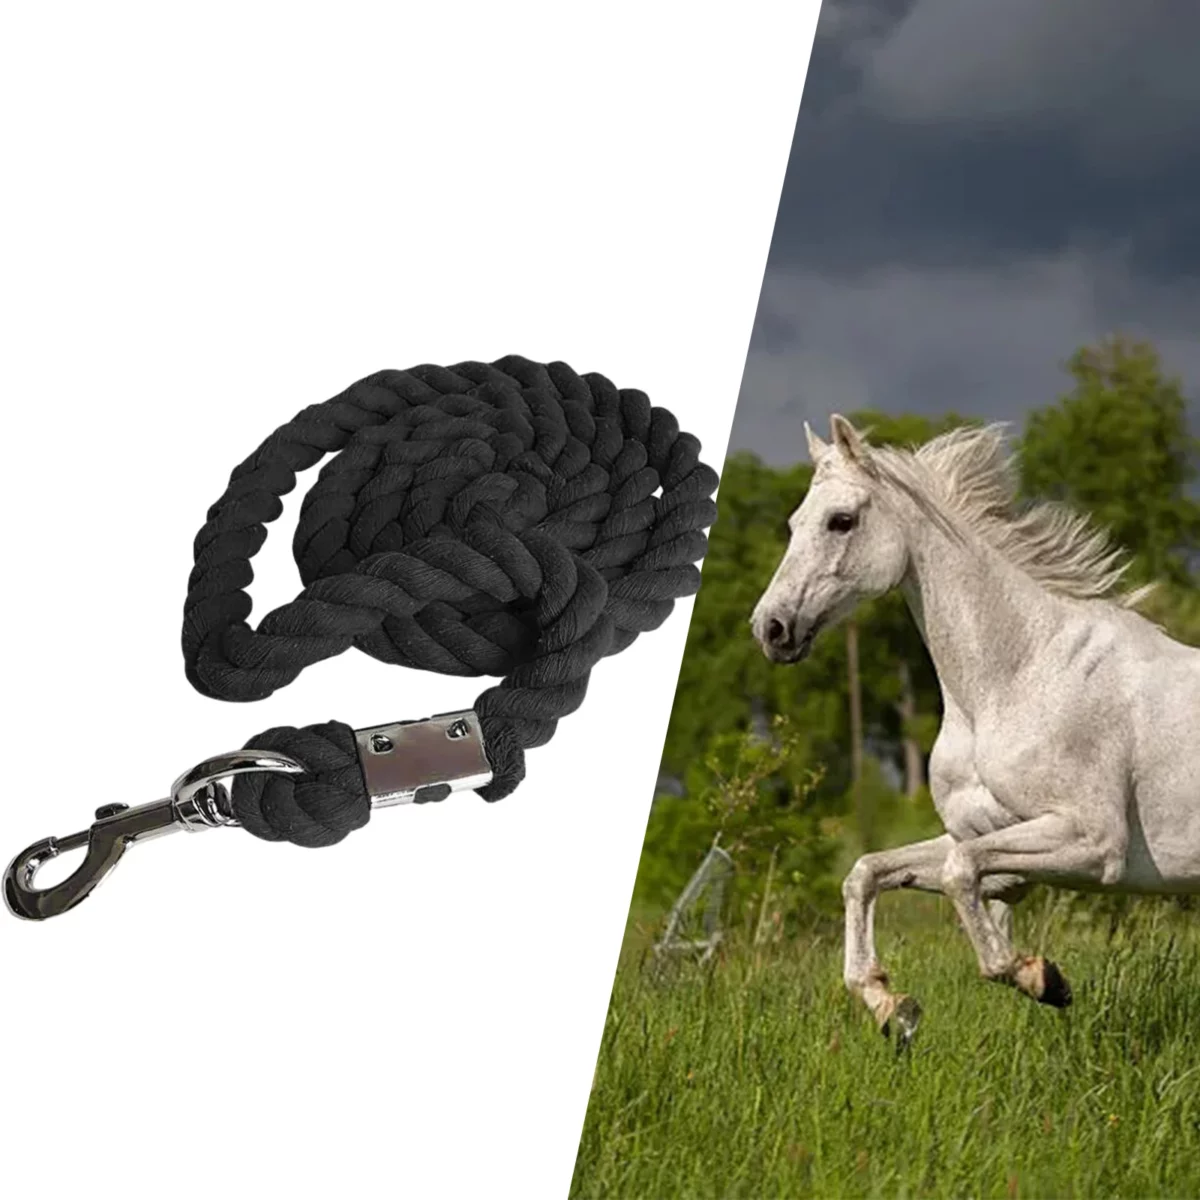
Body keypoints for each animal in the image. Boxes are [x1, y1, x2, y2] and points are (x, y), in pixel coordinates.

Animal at [750, 414, 1200, 1044]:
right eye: (794, 523)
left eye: (841, 520)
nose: (770, 629)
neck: (1019, 674)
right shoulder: (978, 836)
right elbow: (866, 873)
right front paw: (890, 1006)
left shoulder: (1092, 841)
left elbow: (962, 880)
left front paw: (1042, 979)